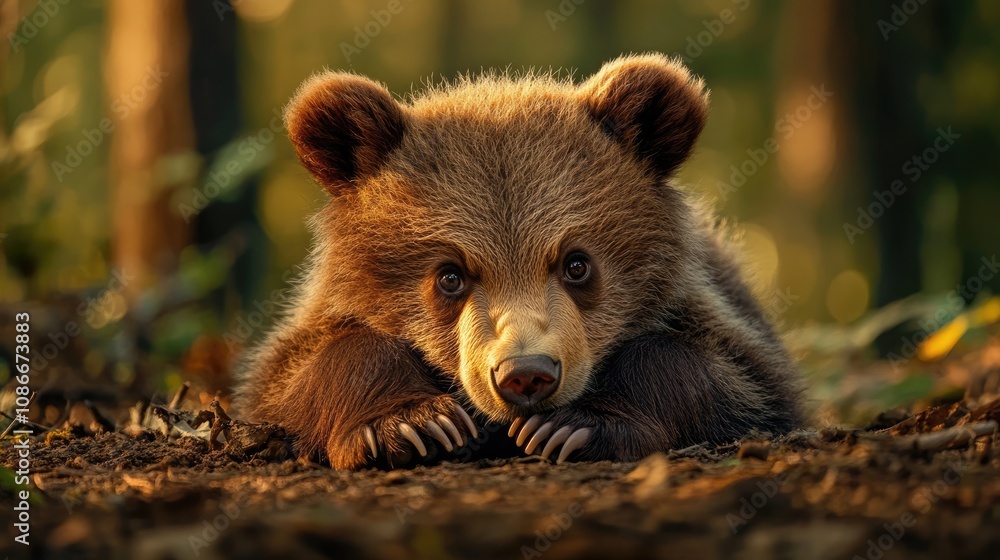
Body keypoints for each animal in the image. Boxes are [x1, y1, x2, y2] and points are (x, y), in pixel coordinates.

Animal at [234, 53, 803, 470]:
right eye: (450, 275)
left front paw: (571, 427)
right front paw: (414, 424)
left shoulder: (709, 315)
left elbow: (732, 374)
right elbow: (303, 371)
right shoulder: (316, 324)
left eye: (577, 263)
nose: (526, 374)